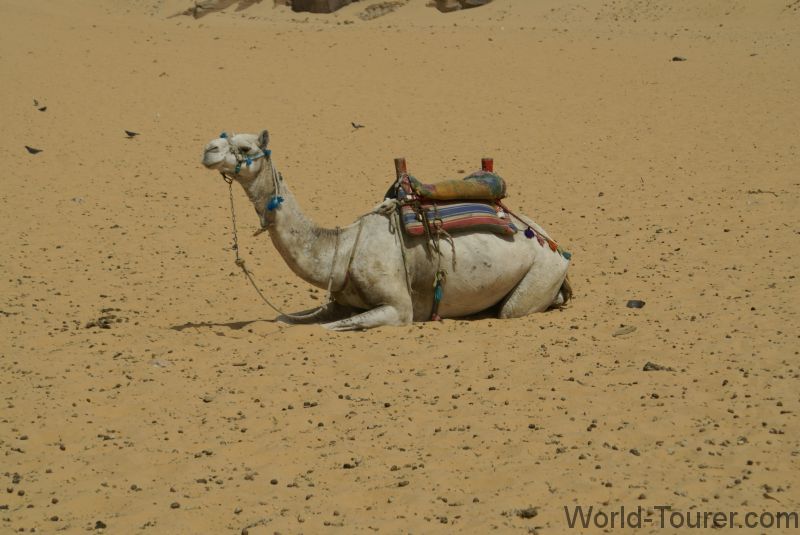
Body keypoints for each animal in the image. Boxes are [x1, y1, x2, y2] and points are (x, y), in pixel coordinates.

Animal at [201, 130, 571, 330]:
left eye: (245, 148)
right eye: (225, 138)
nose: (209, 149)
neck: (342, 249)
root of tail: (552, 242)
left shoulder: (398, 308)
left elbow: (328, 329)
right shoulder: (337, 301)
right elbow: (287, 320)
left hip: (541, 272)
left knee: (511, 309)